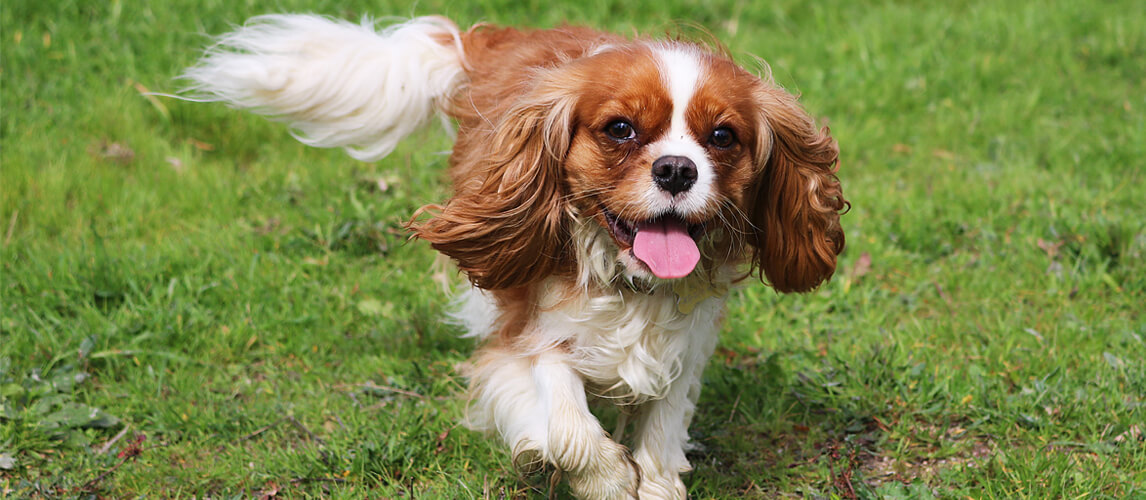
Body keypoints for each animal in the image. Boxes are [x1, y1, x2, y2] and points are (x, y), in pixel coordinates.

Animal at [183, 13, 848, 497]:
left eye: (722, 137)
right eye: (620, 129)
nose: (678, 169)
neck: (625, 281)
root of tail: (499, 35)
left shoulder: (686, 349)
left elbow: (661, 433)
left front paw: (652, 481)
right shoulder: (523, 339)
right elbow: (568, 421)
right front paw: (604, 480)